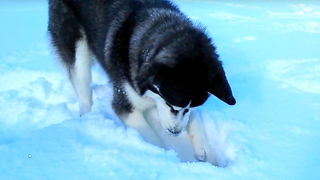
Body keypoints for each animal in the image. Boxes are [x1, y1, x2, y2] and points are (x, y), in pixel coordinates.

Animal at [48, 0, 236, 164]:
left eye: (187, 108)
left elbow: (194, 118)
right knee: (83, 87)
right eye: (170, 105)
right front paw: (165, 156)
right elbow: (150, 135)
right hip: (77, 52)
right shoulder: (126, 103)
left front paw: (201, 147)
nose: (175, 132)